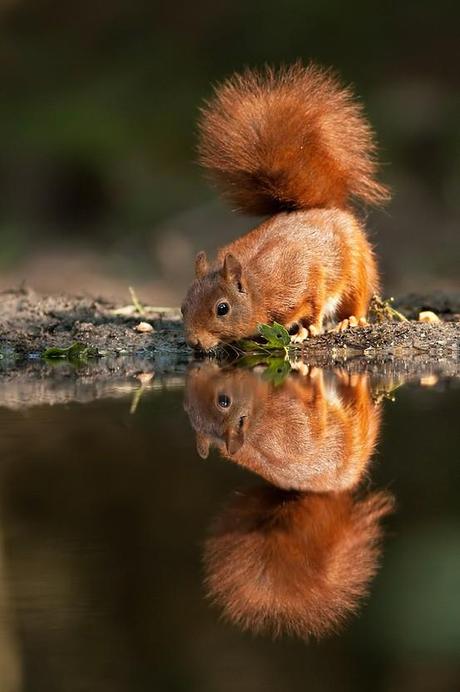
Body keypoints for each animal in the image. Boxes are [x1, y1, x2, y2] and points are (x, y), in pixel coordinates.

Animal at [181, 61, 390, 348]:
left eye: (222, 308)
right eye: (182, 307)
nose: (194, 343)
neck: (258, 288)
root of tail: (326, 208)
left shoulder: (306, 277)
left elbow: (314, 305)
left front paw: (308, 329)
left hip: (357, 269)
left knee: (356, 300)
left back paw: (350, 320)